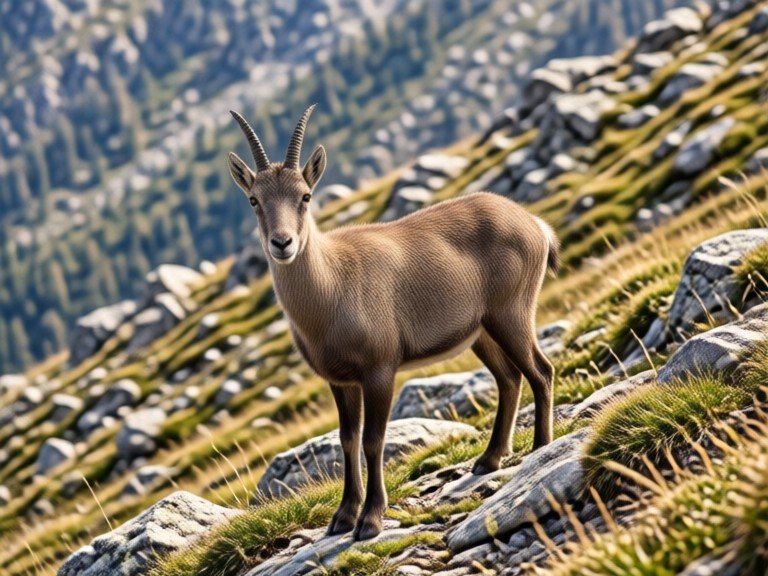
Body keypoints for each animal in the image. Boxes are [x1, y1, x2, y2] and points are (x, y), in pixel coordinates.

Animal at [228, 105, 558, 541]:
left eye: (305, 195)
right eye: (253, 199)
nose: (282, 244)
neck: (331, 289)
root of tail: (535, 223)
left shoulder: (379, 369)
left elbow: (373, 439)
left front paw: (370, 519)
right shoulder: (340, 380)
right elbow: (347, 440)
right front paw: (342, 517)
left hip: (512, 312)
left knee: (540, 369)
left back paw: (540, 446)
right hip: (481, 331)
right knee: (509, 377)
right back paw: (489, 460)